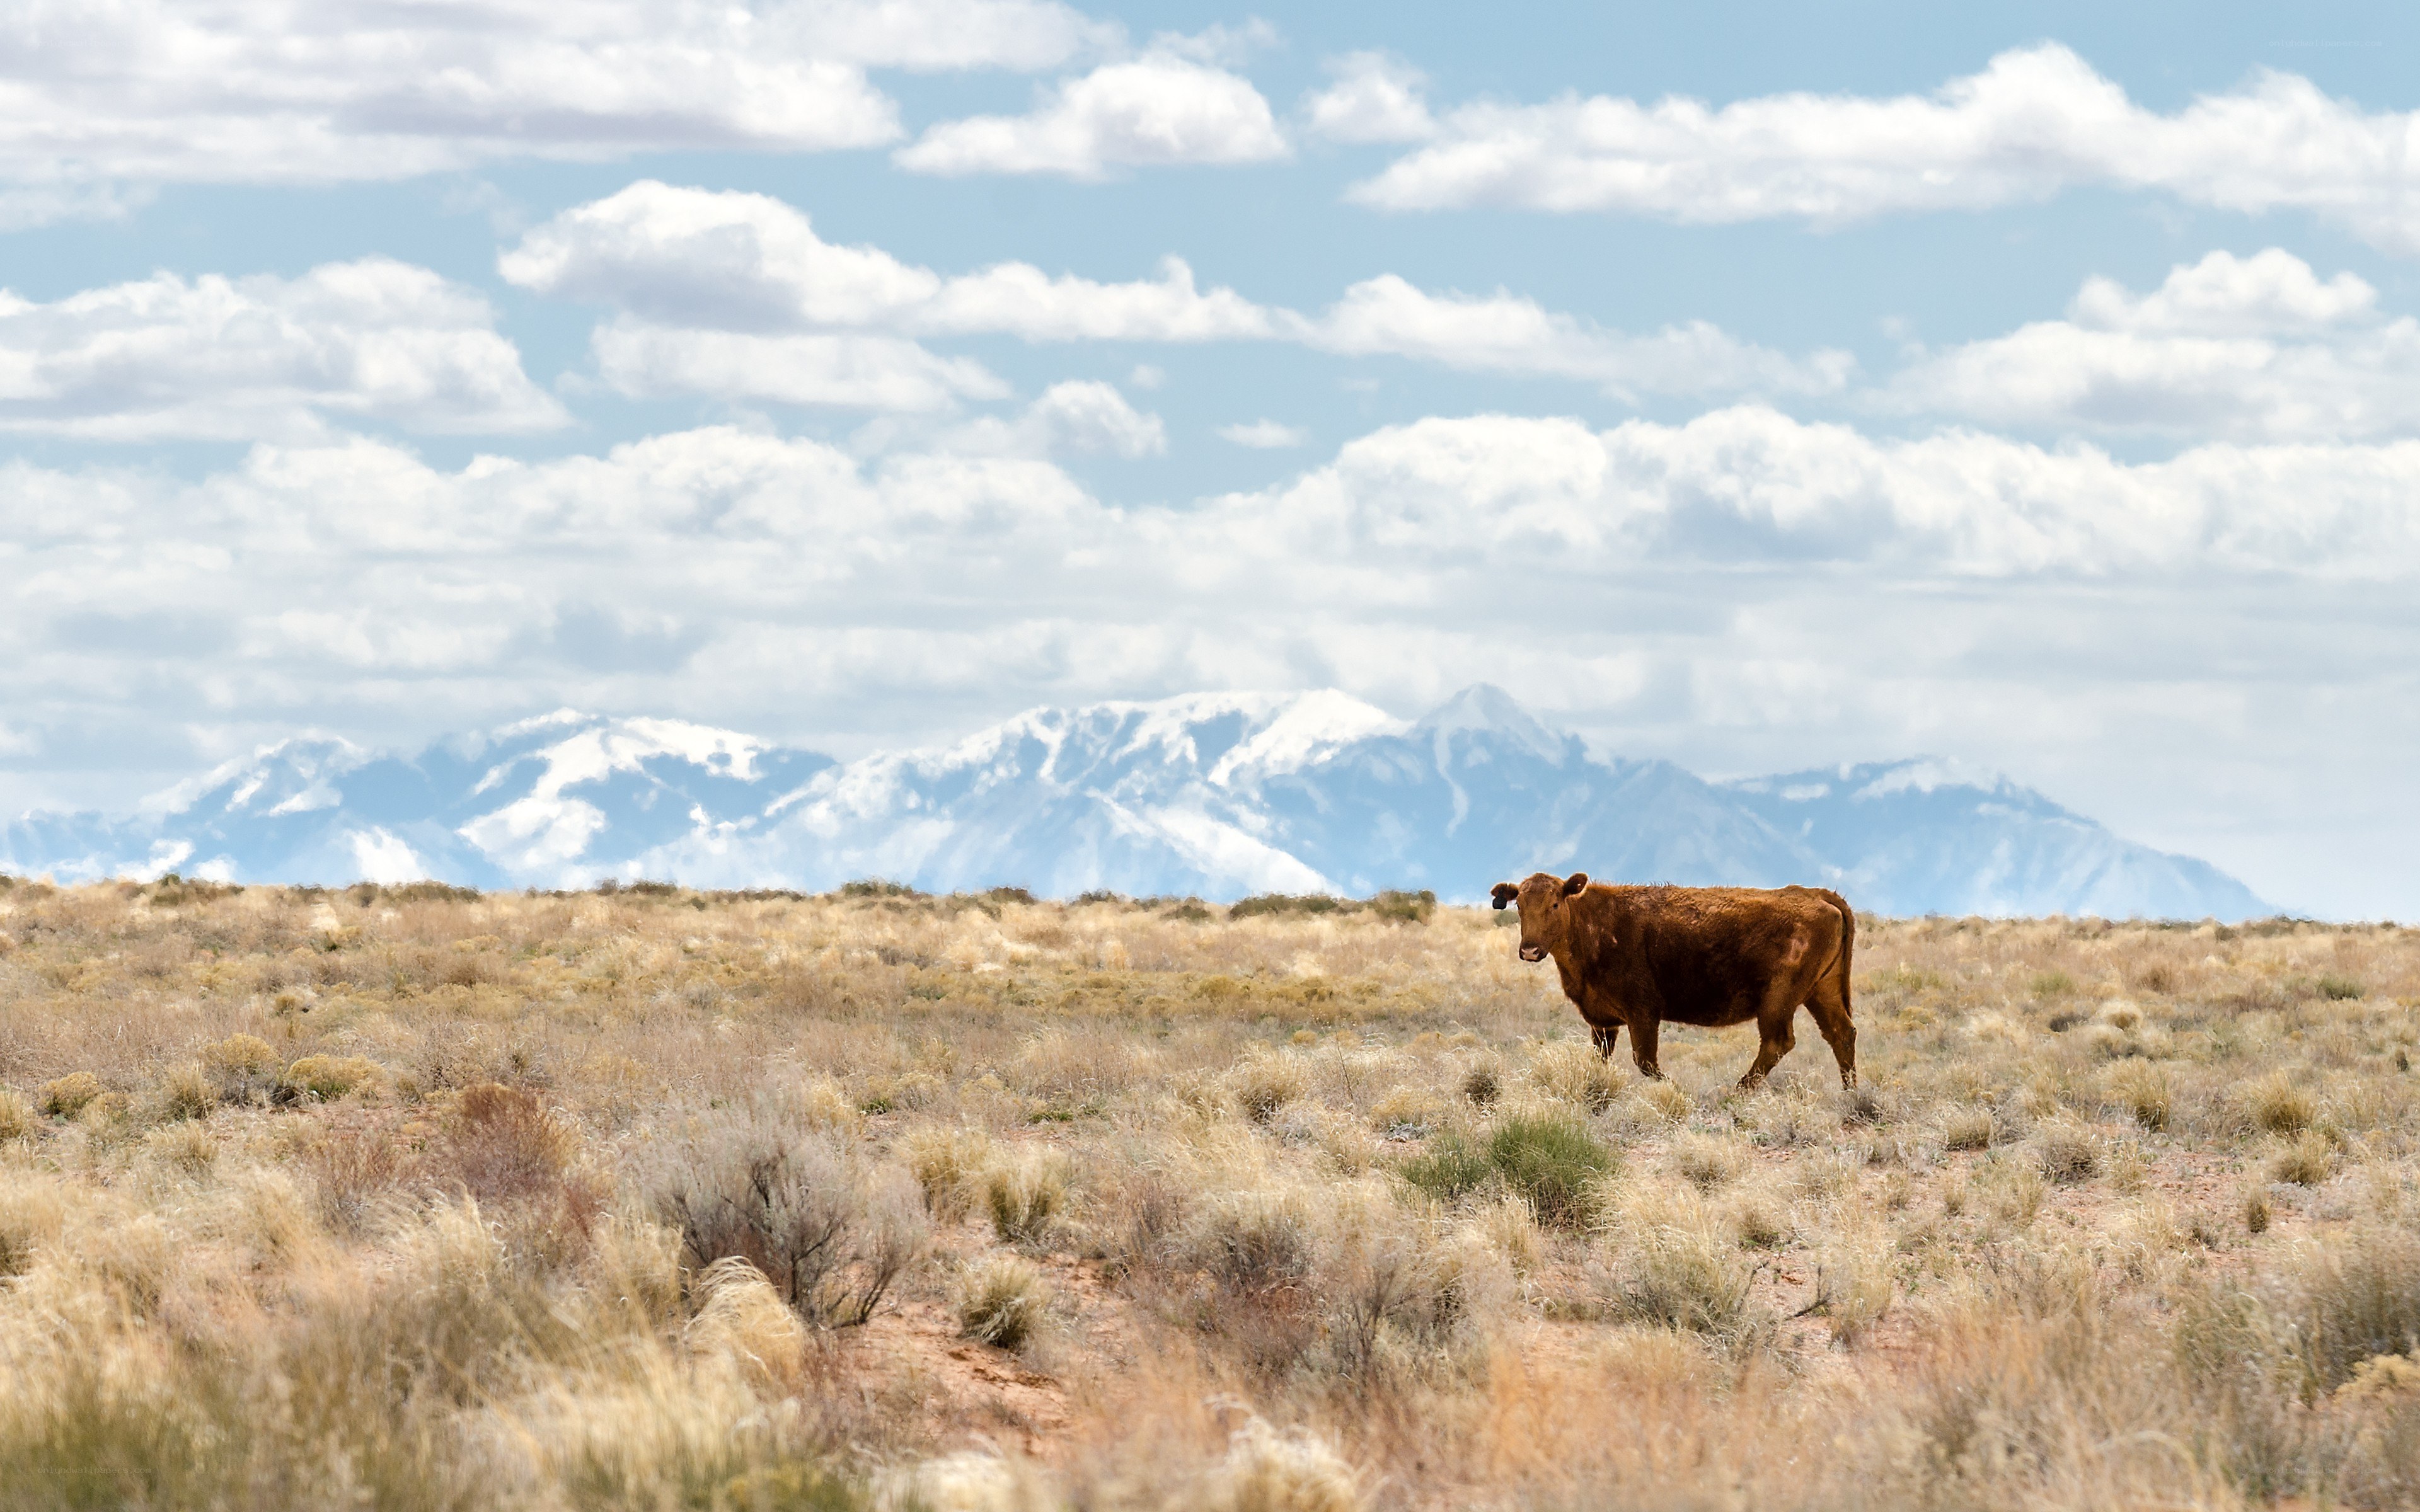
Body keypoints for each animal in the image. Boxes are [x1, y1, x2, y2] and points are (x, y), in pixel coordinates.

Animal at [1490, 872, 1858, 1090]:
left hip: (1779, 999)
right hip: (1821, 992)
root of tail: (1818, 895)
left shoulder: (1642, 1013)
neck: (1591, 923)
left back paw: (1737, 1091)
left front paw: (1676, 1088)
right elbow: (1601, 1059)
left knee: (1778, 1041)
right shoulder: (1603, 1023)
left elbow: (1646, 1061)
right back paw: (1850, 1093)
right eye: (1519, 906)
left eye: (1555, 903)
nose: (1530, 950)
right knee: (1841, 1033)